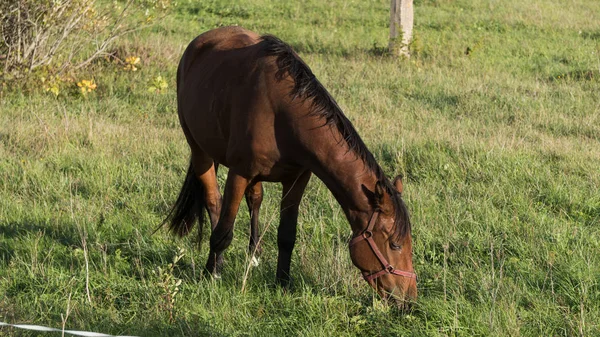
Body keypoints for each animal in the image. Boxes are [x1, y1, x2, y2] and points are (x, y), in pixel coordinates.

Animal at [164, 25, 418, 304]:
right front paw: (212, 274)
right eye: (395, 244)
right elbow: (223, 231)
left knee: (255, 199)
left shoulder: (297, 179)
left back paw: (254, 255)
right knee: (214, 202)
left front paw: (283, 282)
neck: (281, 115)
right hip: (200, 151)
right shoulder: (239, 173)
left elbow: (286, 235)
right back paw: (217, 263)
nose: (409, 299)